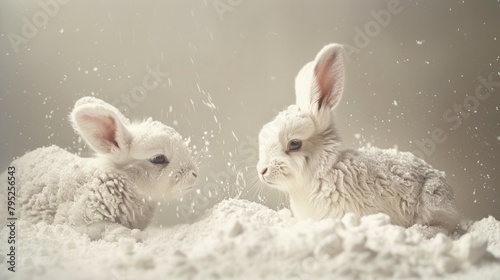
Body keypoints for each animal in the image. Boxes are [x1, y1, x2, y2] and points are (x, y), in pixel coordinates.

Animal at [0, 97, 198, 241]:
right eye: (158, 158)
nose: (194, 175)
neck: (122, 179)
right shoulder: (83, 221)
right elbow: (110, 229)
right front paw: (133, 237)